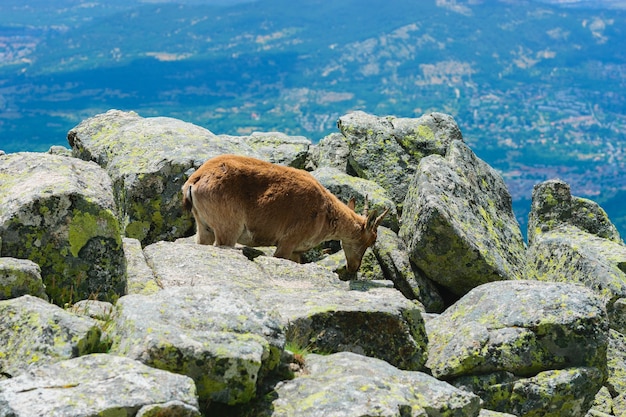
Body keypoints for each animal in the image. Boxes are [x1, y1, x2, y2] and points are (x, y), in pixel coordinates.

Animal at [180, 154, 388, 272]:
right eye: (371, 241)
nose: (354, 268)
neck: (325, 212)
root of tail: (195, 180)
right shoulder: (287, 242)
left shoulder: (296, 251)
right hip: (228, 229)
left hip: (204, 227)